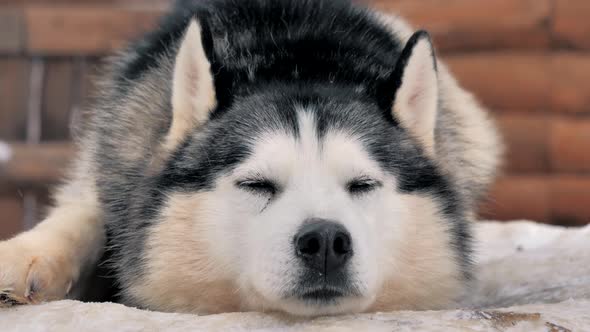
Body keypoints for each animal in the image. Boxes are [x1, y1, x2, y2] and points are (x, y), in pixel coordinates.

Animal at [0, 0, 502, 316]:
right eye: (257, 184)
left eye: (362, 185)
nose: (325, 240)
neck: (298, 61)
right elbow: (85, 214)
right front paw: (25, 258)